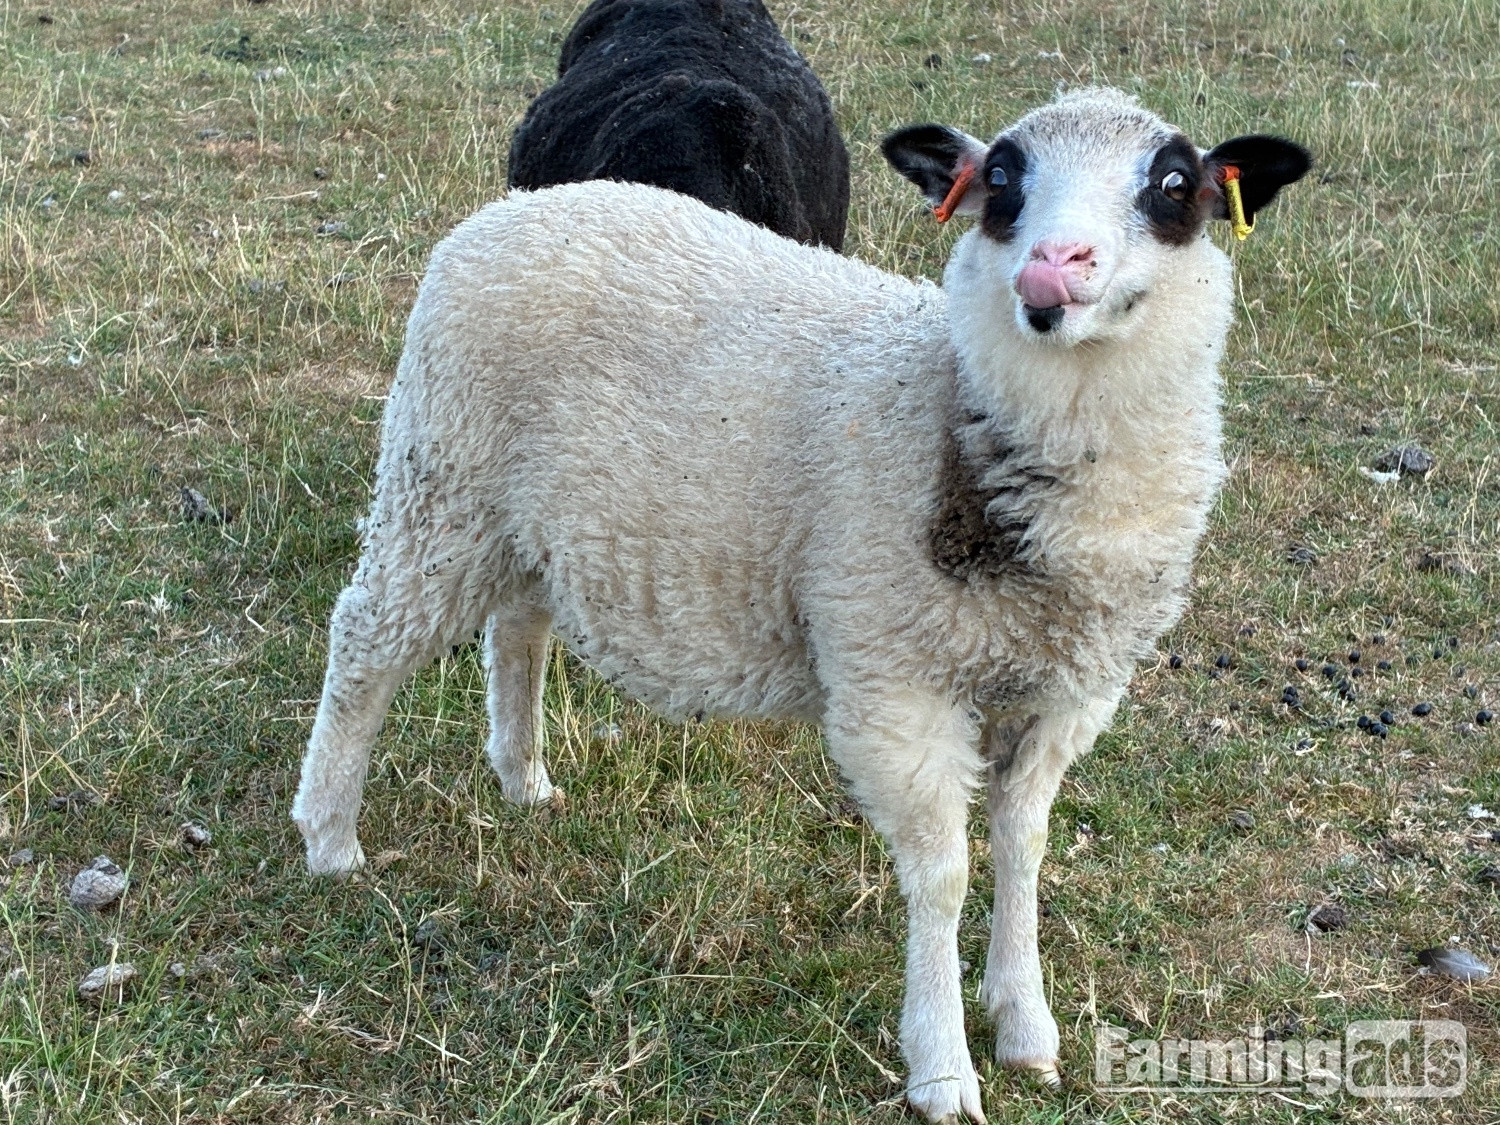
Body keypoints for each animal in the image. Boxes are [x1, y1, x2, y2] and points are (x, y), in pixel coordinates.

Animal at [293, 87, 1310, 1122]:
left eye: (1173, 183)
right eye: (1002, 178)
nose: (1054, 264)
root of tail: (515, 210)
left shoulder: (1068, 691)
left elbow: (1023, 846)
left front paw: (1026, 1025)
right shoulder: (893, 681)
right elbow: (943, 874)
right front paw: (943, 1066)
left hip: (529, 516)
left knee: (520, 626)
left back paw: (523, 776)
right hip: (441, 479)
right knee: (366, 642)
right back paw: (329, 834)